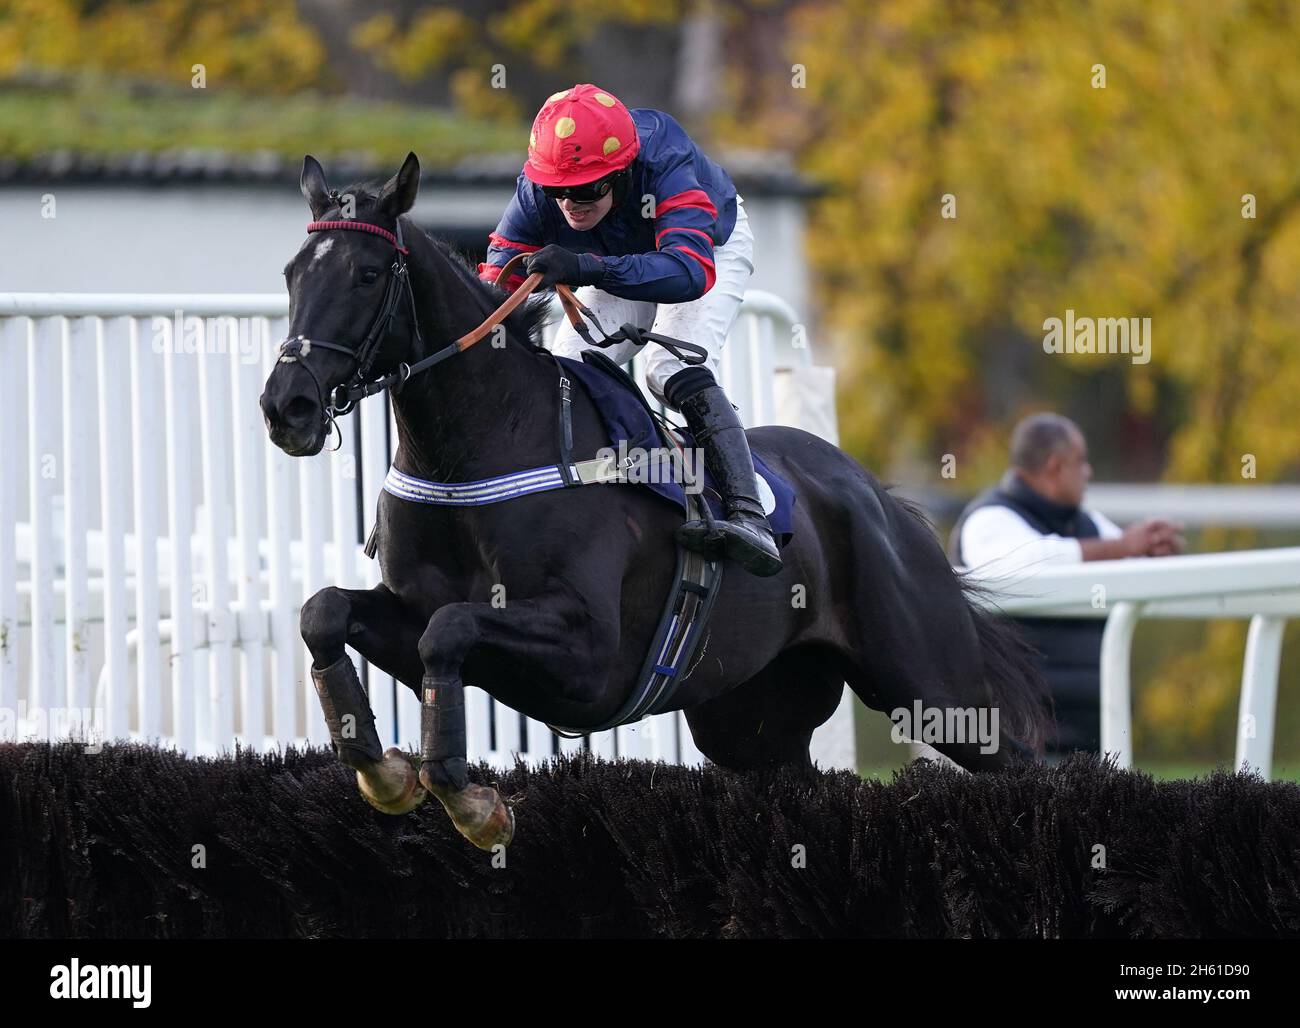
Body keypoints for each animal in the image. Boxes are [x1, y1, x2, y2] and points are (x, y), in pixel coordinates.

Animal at [258, 152, 1050, 852]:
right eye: (292, 273)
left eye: (366, 274)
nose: (285, 405)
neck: (485, 442)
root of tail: (880, 499)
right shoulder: (414, 610)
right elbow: (327, 612)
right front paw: (387, 774)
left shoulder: (589, 652)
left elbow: (448, 631)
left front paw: (469, 800)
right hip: (751, 719)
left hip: (930, 684)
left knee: (1026, 765)